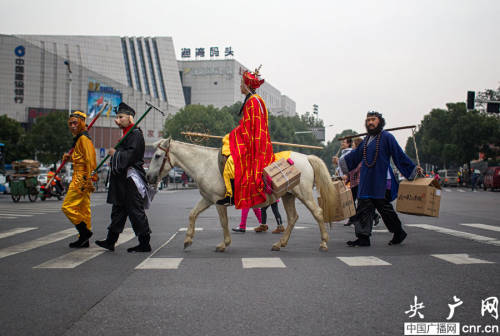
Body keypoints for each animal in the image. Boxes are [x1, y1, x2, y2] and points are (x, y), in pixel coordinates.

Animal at [146, 137, 338, 252]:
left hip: (304, 193)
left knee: (317, 213)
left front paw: (224, 244)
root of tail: (306, 158)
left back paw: (323, 242)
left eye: (157, 155)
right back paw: (280, 243)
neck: (205, 164)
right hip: (288, 195)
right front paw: (187, 240)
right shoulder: (207, 198)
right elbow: (192, 214)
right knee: (292, 218)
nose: (148, 177)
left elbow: (223, 222)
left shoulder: (218, 201)